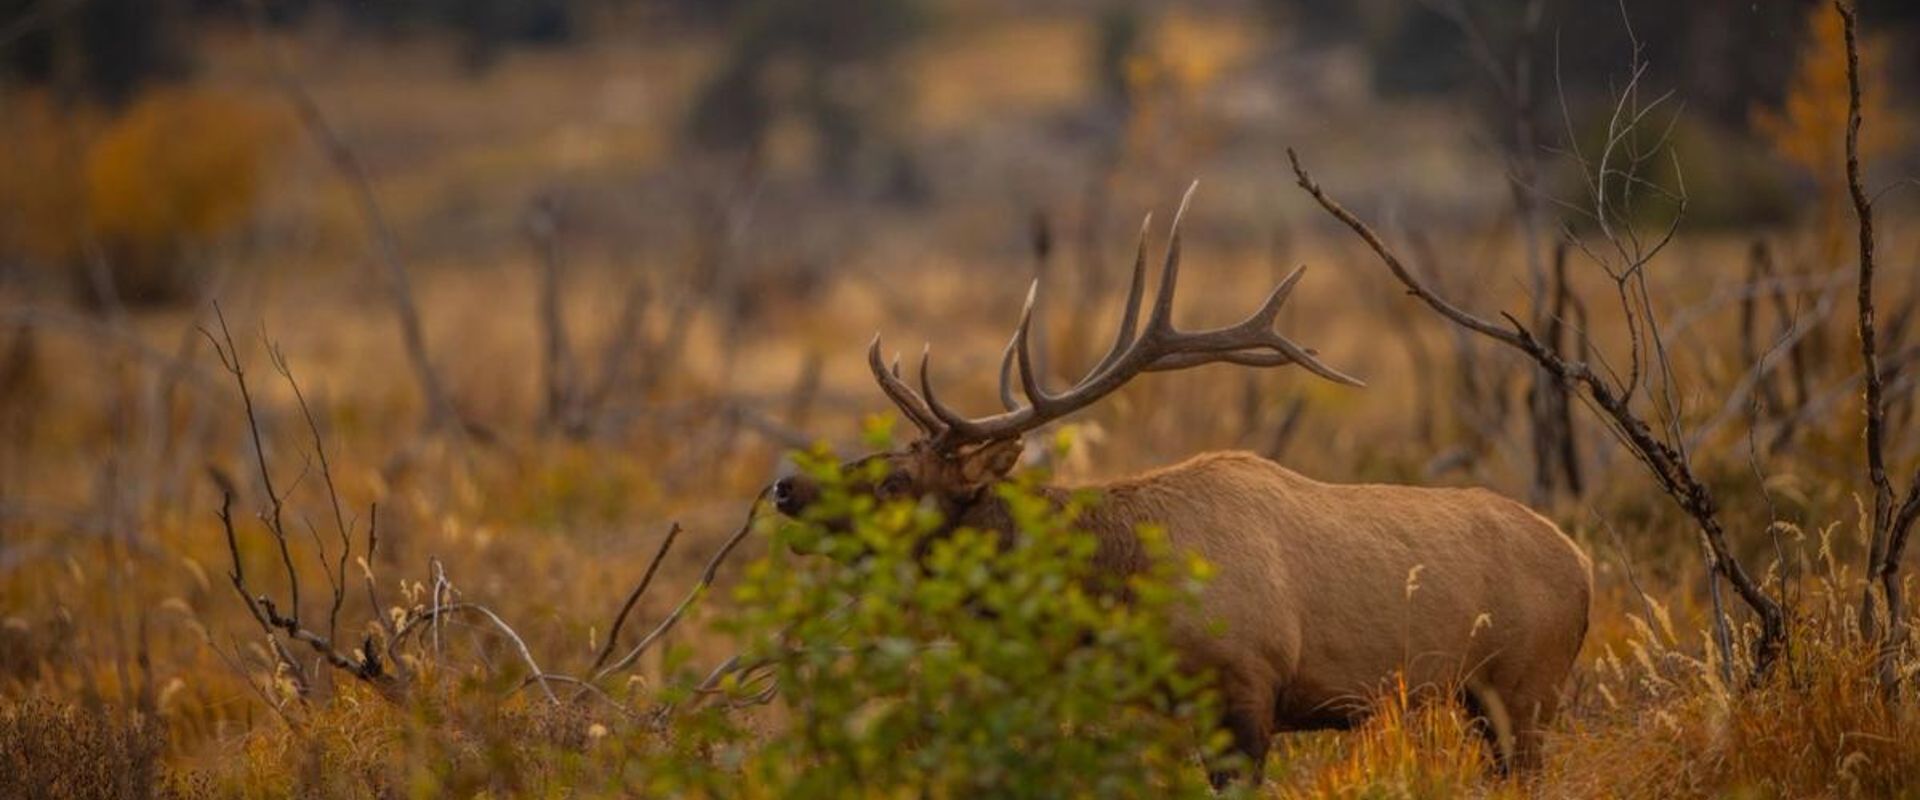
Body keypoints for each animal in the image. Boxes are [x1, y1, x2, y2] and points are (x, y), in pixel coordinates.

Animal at [770, 188, 1593, 786]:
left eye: (897, 479)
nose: (784, 487)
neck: (1123, 587)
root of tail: (1585, 566)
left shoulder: (1247, 685)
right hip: (1483, 700)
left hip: (1528, 686)